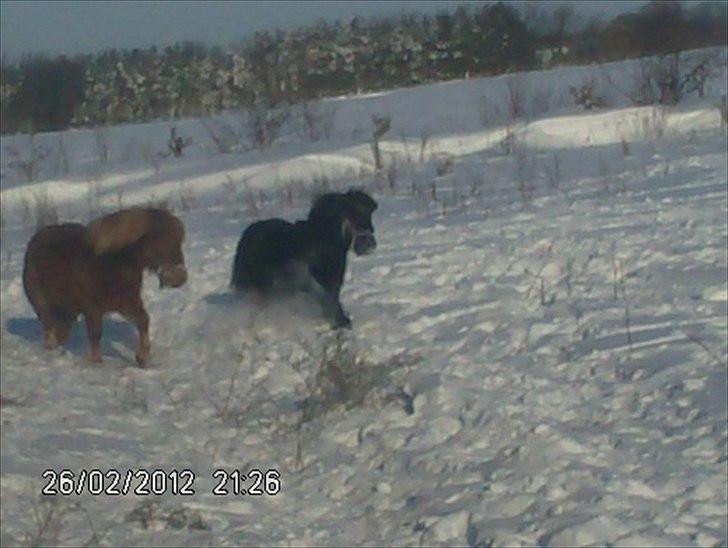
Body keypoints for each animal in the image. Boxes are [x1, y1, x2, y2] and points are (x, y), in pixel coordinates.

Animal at [23, 207, 188, 364]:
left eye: (178, 241)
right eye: (161, 241)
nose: (179, 278)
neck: (112, 264)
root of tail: (34, 240)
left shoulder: (127, 303)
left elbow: (143, 320)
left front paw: (142, 357)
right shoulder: (92, 309)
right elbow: (95, 334)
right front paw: (95, 361)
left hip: (66, 309)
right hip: (42, 303)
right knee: (49, 327)